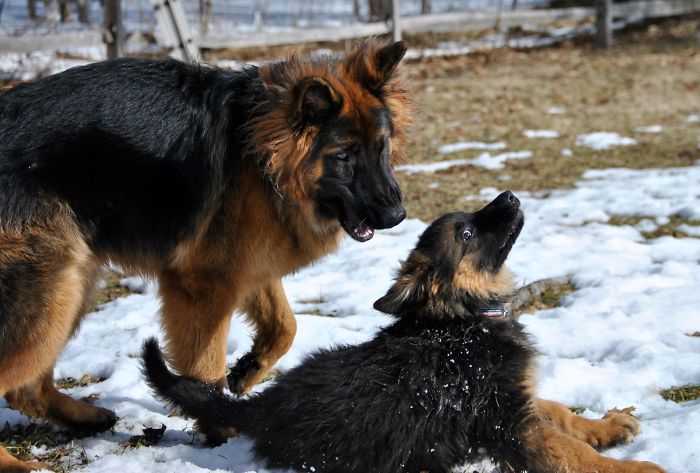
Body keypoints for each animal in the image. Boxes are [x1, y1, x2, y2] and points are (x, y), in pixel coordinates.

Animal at [0, 41, 412, 472]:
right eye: (343, 156)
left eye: (382, 147)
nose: (396, 216)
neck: (261, 153)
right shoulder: (205, 287)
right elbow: (208, 365)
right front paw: (218, 424)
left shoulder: (245, 268)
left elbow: (285, 327)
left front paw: (247, 371)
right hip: (53, 297)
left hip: (71, 287)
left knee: (25, 389)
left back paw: (84, 417)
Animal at [144, 191, 668, 472]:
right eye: (466, 234)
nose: (510, 197)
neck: (465, 321)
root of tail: (263, 405)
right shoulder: (508, 422)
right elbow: (571, 452)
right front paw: (637, 466)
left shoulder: (511, 397)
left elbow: (559, 411)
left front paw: (605, 426)